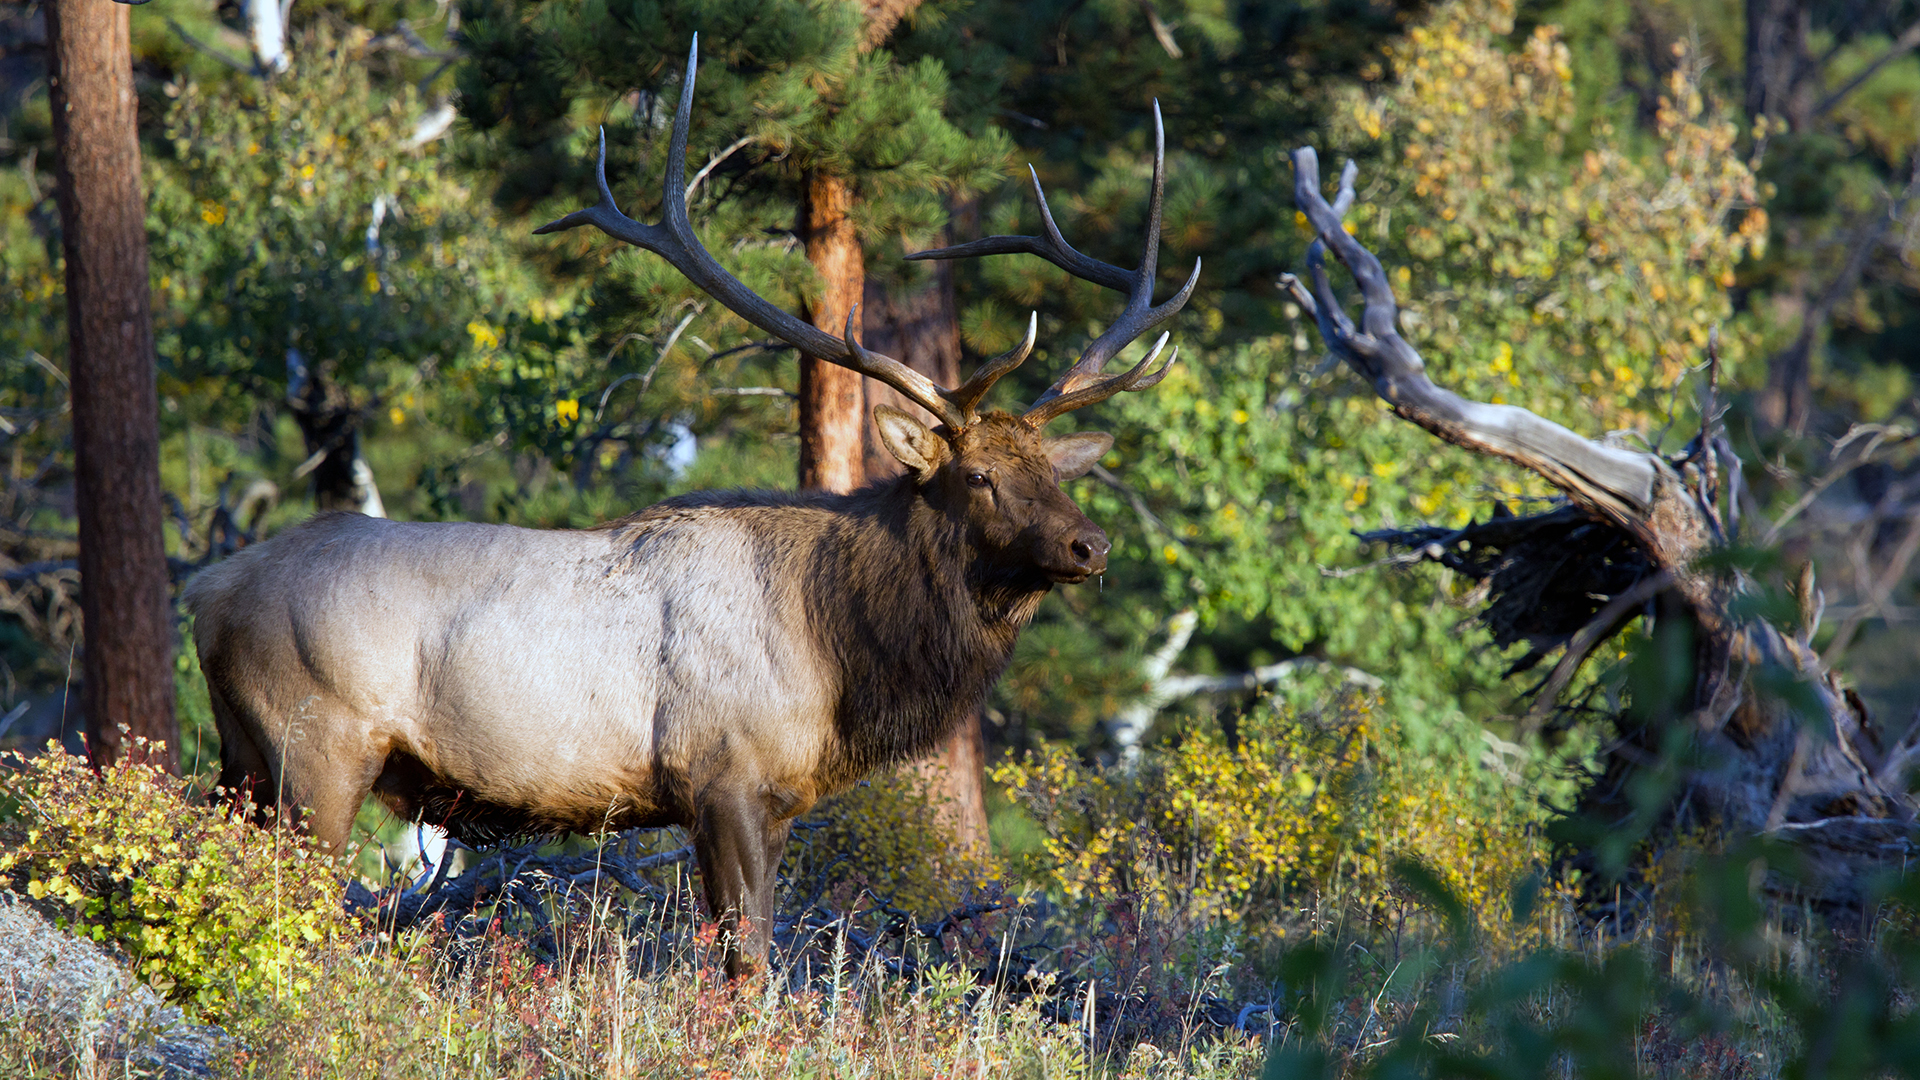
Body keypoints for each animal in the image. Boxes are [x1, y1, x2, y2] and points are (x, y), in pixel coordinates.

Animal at [183, 38, 1197, 977]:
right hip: (316, 748)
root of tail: (206, 592)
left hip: (243, 760)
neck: (843, 652)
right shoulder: (723, 777)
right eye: (979, 474)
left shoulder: (779, 800)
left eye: (1055, 470)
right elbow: (747, 960)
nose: (1090, 544)